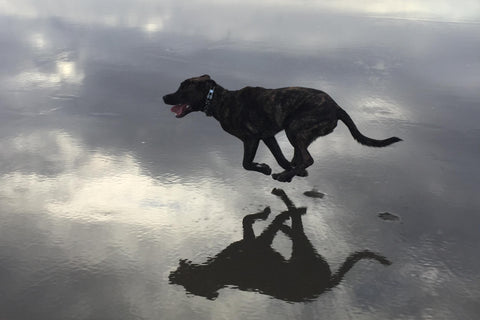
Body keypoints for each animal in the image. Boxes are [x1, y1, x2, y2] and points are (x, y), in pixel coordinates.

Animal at [164, 73, 402, 181]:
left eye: (183, 89)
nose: (165, 97)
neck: (220, 100)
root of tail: (337, 108)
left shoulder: (251, 138)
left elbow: (246, 164)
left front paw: (265, 168)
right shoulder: (268, 136)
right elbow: (280, 157)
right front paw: (284, 168)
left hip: (295, 128)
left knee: (308, 158)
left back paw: (285, 176)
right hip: (298, 132)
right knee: (300, 157)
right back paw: (292, 173)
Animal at [169, 188, 390, 300]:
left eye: (187, 282)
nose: (171, 276)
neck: (222, 270)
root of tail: (325, 286)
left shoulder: (256, 242)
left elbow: (252, 219)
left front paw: (267, 214)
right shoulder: (255, 242)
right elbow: (255, 220)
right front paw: (270, 215)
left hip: (301, 251)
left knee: (295, 219)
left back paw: (288, 210)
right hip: (302, 251)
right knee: (296, 225)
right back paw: (289, 218)